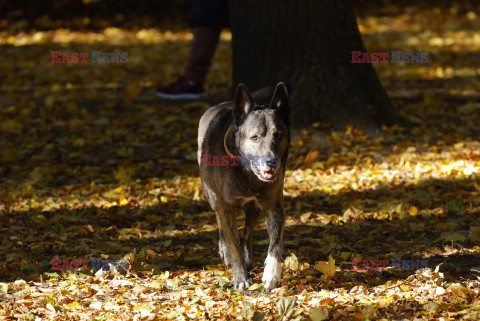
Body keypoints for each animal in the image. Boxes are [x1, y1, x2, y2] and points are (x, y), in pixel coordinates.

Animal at [197, 81, 290, 288]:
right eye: (255, 137)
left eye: (279, 135)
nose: (272, 162)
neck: (248, 174)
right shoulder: (225, 206)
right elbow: (233, 244)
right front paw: (240, 278)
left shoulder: (274, 206)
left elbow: (276, 243)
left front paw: (271, 273)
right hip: (211, 196)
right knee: (221, 223)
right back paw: (225, 250)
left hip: (254, 208)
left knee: (247, 233)